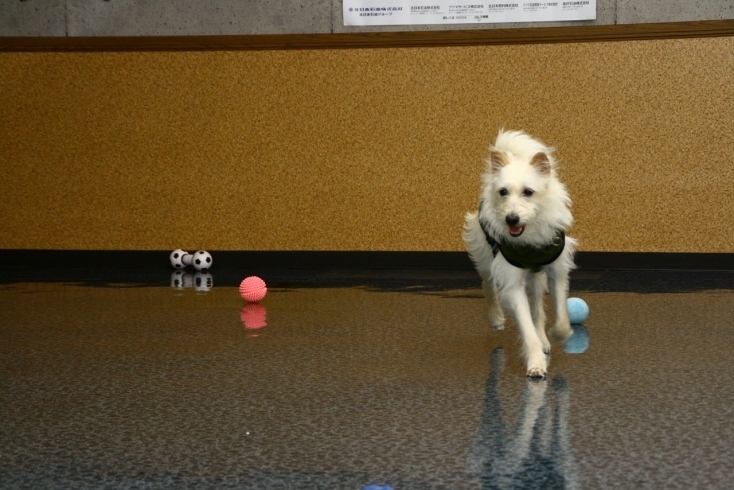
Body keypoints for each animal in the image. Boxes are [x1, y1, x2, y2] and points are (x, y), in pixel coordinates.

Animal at [466, 130, 580, 378]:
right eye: (503, 192)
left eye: (528, 192)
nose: (511, 219)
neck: (529, 235)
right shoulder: (513, 284)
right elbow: (527, 329)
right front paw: (536, 363)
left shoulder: (557, 273)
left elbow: (561, 318)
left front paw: (555, 335)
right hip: (486, 258)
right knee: (488, 284)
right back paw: (496, 317)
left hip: (536, 277)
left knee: (537, 307)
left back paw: (544, 337)